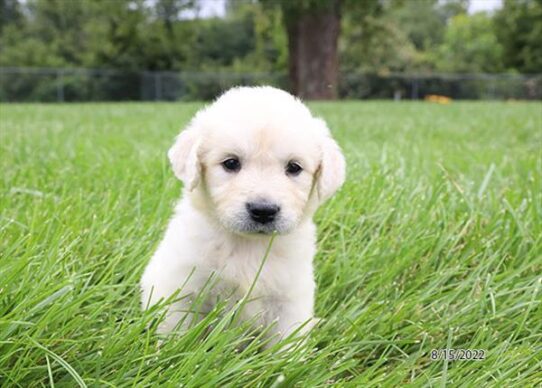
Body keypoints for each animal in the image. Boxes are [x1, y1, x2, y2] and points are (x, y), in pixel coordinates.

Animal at [140, 85, 344, 346]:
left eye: (294, 167)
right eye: (230, 163)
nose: (263, 210)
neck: (247, 245)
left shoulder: (289, 302)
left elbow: (287, 346)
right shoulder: (183, 289)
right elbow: (178, 334)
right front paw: (173, 353)